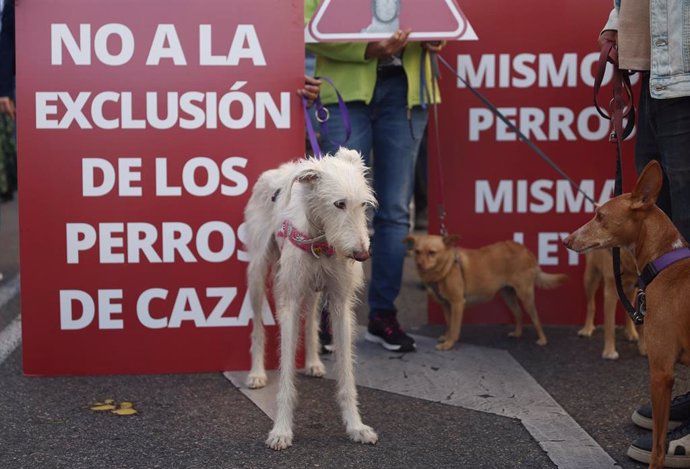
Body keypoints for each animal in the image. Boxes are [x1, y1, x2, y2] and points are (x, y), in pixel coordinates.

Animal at [242, 149, 378, 450]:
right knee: (257, 325)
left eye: (363, 204)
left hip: (314, 289)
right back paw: (256, 372)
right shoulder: (289, 302)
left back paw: (313, 361)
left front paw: (356, 426)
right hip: (258, 271)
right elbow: (285, 373)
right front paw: (281, 430)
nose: (362, 255)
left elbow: (347, 375)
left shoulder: (340, 304)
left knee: (312, 319)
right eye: (339, 204)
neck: (320, 239)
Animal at [404, 236, 564, 350]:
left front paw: (449, 343)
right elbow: (449, 324)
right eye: (417, 252)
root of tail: (525, 250)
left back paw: (542, 339)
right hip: (508, 295)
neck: (447, 267)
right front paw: (446, 337)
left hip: (525, 296)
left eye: (432, 252)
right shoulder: (446, 305)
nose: (419, 264)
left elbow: (454, 327)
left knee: (536, 318)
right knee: (519, 314)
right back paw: (517, 333)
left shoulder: (457, 304)